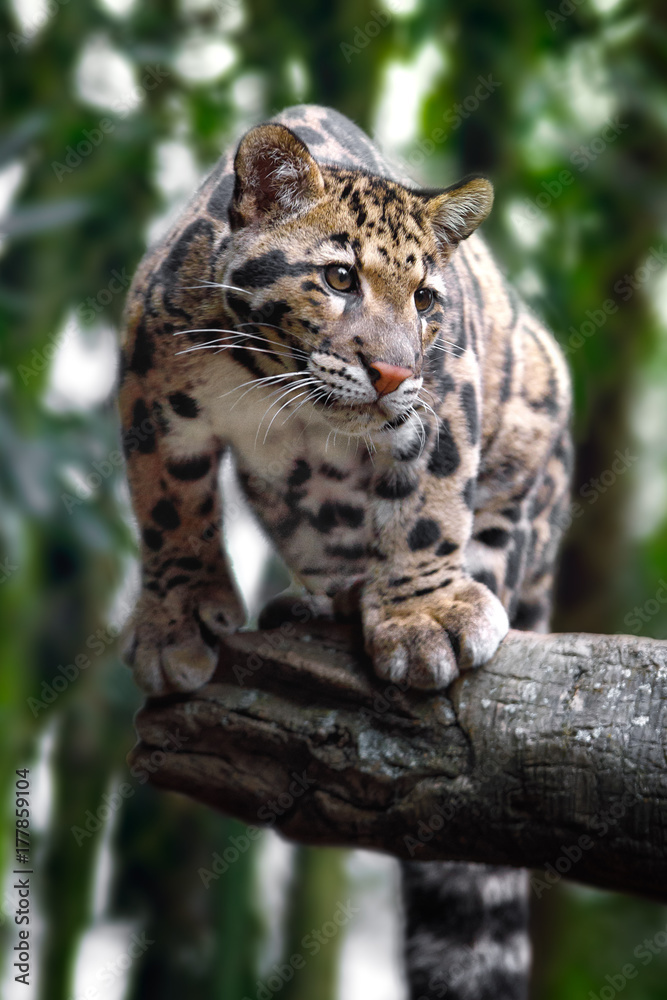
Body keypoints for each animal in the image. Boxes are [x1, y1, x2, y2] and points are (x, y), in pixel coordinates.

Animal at [118, 104, 572, 1000]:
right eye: (337, 280)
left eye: (427, 299)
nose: (392, 371)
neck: (278, 389)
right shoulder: (149, 374)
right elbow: (169, 509)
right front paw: (177, 624)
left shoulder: (447, 391)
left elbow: (428, 505)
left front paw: (425, 619)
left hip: (538, 434)